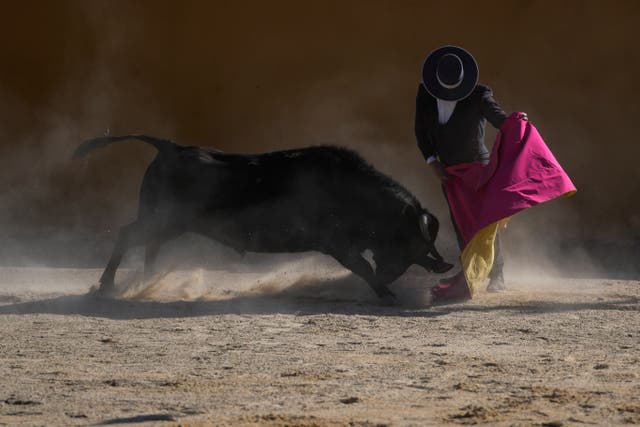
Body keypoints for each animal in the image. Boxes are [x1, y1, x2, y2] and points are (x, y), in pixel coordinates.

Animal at [74, 136, 456, 300]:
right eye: (408, 237)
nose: (442, 264)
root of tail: (171, 148)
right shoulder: (337, 243)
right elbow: (361, 267)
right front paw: (385, 294)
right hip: (161, 218)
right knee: (127, 234)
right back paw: (107, 285)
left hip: (170, 223)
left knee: (149, 245)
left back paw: (146, 281)